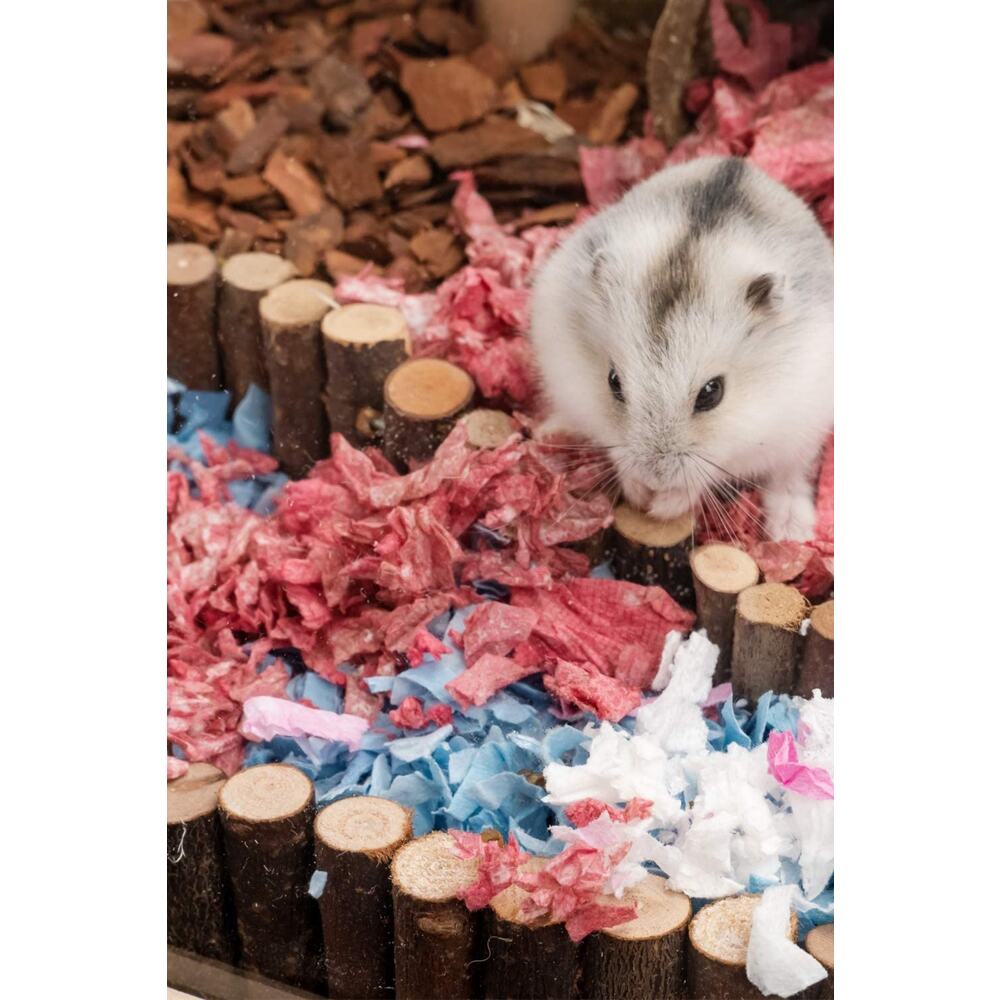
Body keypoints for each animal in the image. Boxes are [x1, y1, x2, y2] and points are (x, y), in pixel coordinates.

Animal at [528, 156, 833, 542]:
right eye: (613, 382)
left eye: (712, 392)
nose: (654, 477)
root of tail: (737, 161)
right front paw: (640, 494)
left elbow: (709, 473)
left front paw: (660, 507)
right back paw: (548, 431)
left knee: (789, 474)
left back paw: (791, 532)